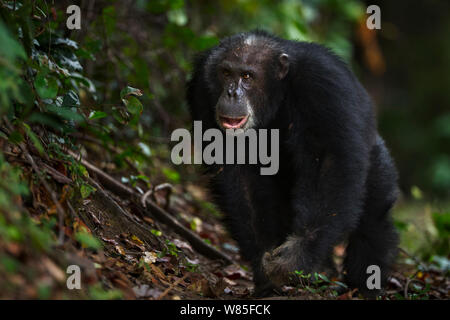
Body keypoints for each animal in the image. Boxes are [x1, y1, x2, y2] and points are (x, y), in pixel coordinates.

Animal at [188, 31, 400, 296]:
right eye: (226, 72)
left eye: (247, 76)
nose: (231, 93)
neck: (279, 91)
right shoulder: (201, 89)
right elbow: (237, 174)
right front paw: (263, 268)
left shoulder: (324, 84)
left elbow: (329, 162)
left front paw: (296, 257)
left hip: (377, 158)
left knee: (374, 217)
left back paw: (361, 287)